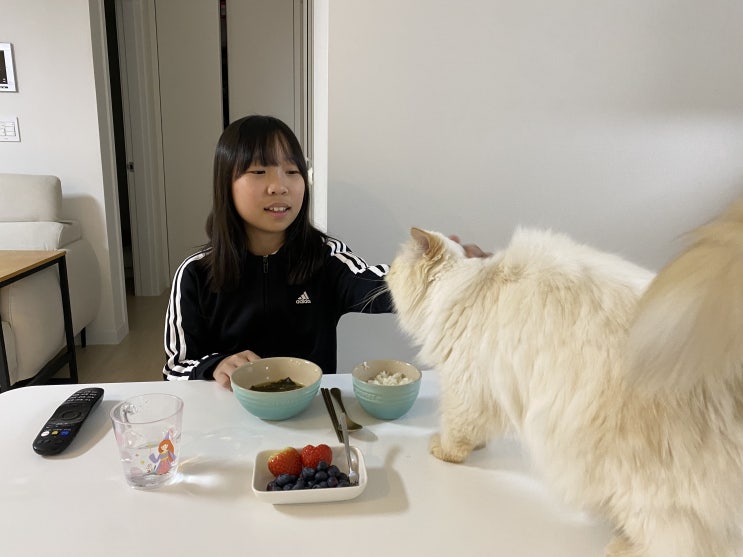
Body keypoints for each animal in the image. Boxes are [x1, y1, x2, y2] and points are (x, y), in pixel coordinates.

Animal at [385, 201, 743, 557]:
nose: (385, 271)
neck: (458, 286)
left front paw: (444, 449)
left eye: (395, 267)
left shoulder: (465, 384)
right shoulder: (486, 392)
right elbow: (476, 430)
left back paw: (621, 547)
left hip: (637, 483)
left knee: (679, 541)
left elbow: (456, 433)